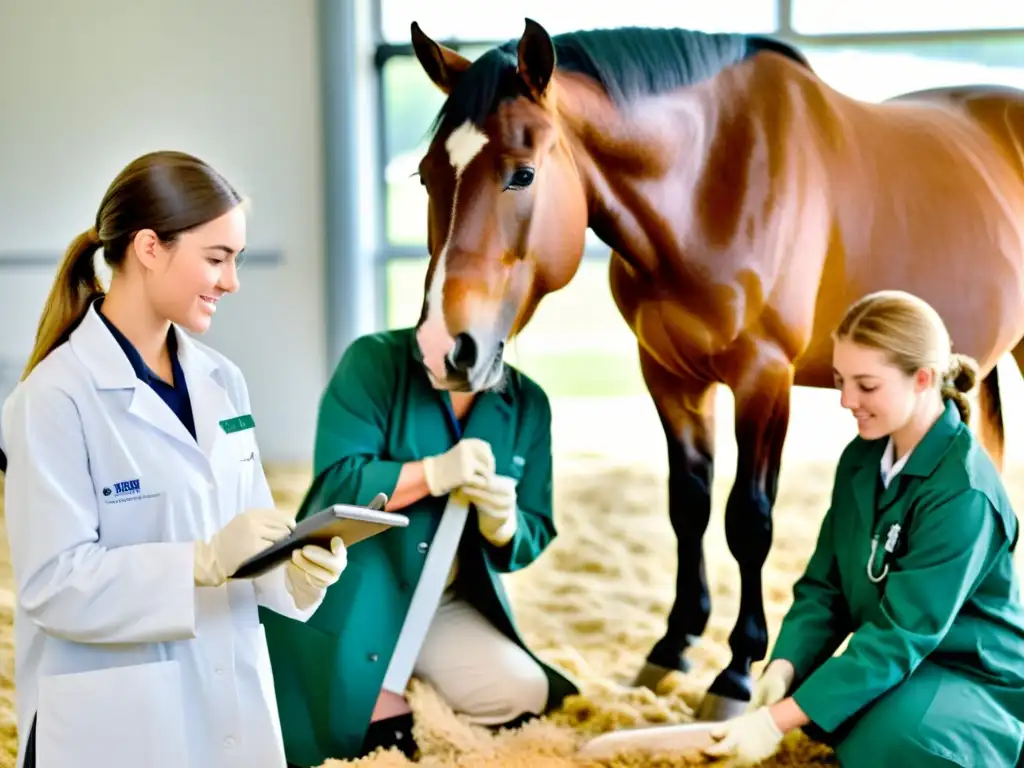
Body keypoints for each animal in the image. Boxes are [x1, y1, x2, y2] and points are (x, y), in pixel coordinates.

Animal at [409, 18, 1024, 720]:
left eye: (523, 174)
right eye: (427, 175)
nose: (444, 347)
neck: (710, 184)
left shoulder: (764, 380)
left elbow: (748, 520)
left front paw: (735, 673)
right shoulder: (671, 377)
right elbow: (690, 507)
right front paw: (672, 647)